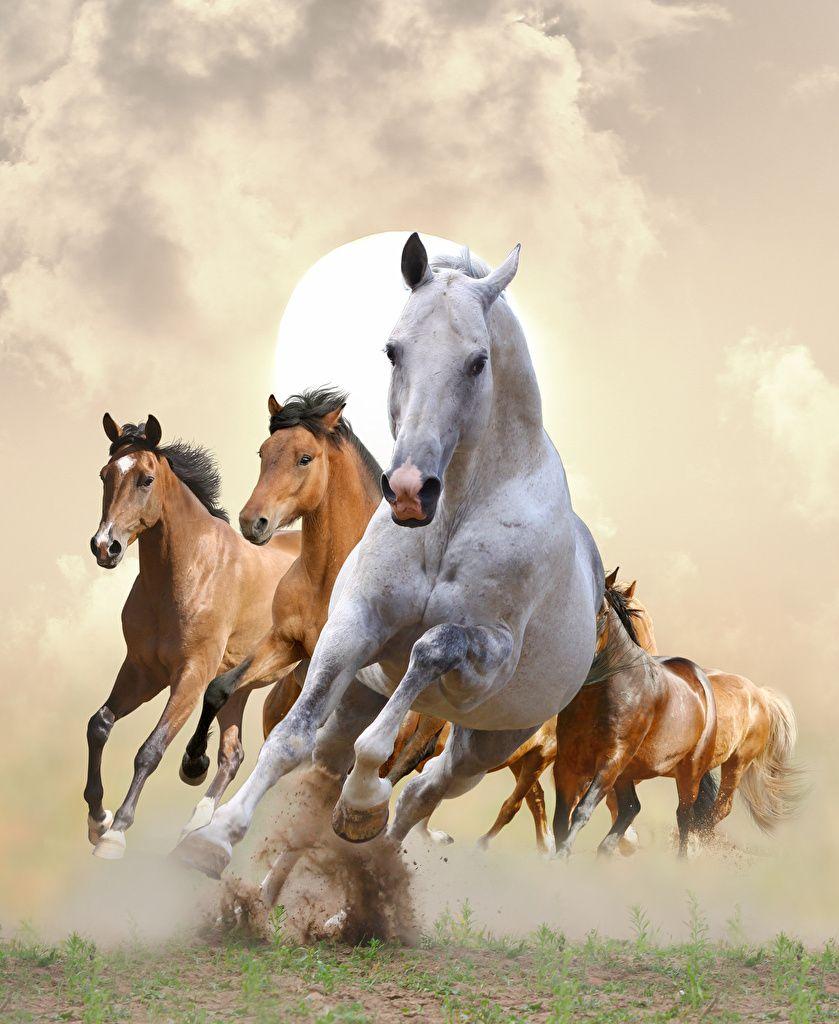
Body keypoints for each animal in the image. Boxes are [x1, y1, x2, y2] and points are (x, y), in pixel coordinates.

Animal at [85, 414, 299, 858]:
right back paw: (197, 824)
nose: (104, 547)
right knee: (233, 753)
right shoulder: (142, 671)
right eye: (104, 475)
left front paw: (116, 832)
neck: (189, 572)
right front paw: (98, 820)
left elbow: (151, 749)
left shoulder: (191, 675)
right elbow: (99, 724)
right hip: (242, 686)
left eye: (146, 479)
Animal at [178, 388, 384, 835]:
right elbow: (219, 688)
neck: (328, 577)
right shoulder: (285, 643)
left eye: (305, 458)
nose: (251, 522)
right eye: (263, 452)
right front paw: (193, 763)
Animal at [551, 595, 718, 857]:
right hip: (627, 772)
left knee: (684, 816)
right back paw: (605, 851)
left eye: (604, 612)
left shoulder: (611, 759)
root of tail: (700, 679)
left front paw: (563, 855)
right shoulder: (567, 762)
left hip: (689, 771)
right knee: (631, 806)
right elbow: (560, 817)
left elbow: (582, 809)